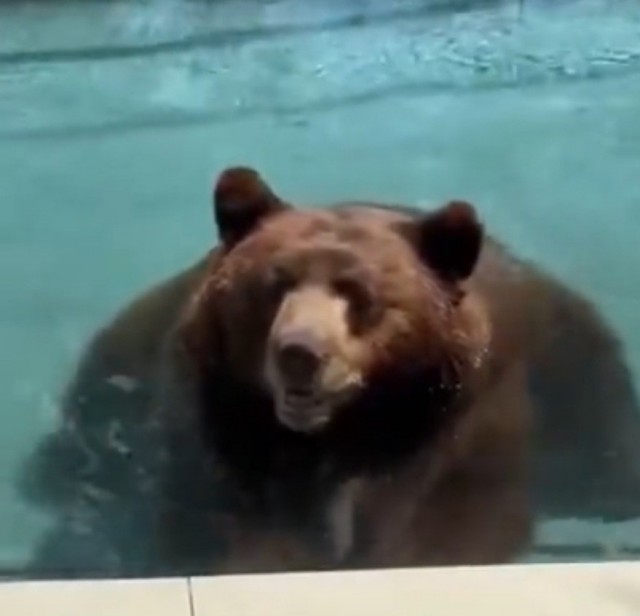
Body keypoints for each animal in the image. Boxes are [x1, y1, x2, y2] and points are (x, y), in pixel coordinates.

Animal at [16, 166, 640, 577]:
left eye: (358, 294)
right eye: (275, 282)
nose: (300, 352)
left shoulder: (458, 420)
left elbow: (456, 519)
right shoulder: (215, 413)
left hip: (585, 383)